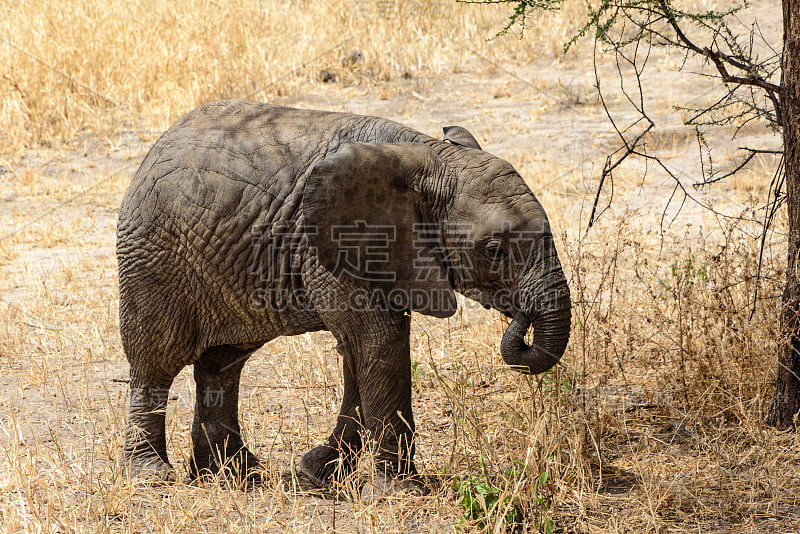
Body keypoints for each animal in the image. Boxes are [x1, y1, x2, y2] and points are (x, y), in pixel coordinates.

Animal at [117, 99, 568, 490]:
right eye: (494, 249)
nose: (520, 316)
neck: (430, 154)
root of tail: (159, 144)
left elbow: (361, 353)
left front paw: (317, 473)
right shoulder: (329, 246)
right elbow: (378, 344)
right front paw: (401, 491)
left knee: (223, 362)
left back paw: (234, 474)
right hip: (154, 257)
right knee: (156, 358)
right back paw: (152, 475)